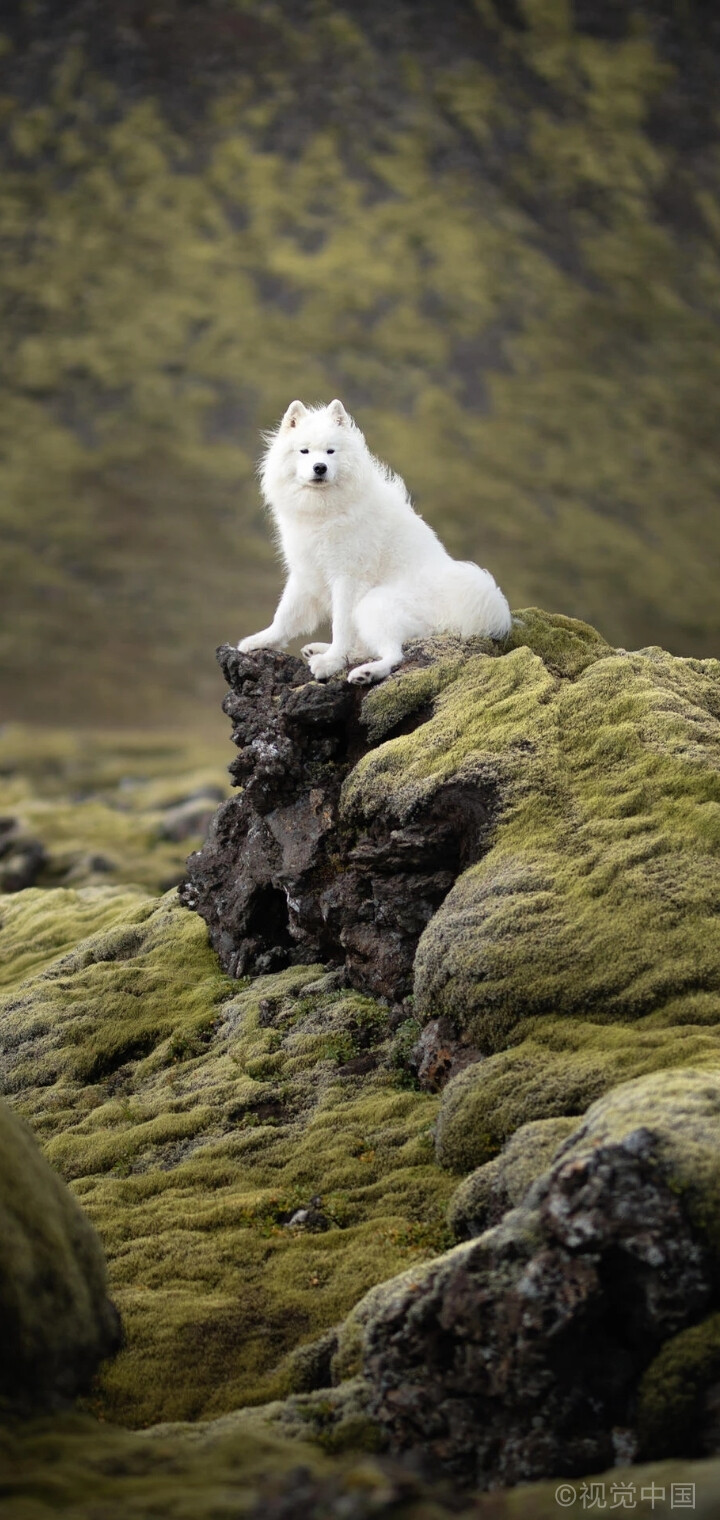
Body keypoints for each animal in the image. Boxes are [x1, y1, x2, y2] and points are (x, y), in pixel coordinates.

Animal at [236, 398, 510, 684]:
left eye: (330, 451)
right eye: (304, 451)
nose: (320, 467)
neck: (324, 511)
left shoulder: (348, 578)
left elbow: (341, 627)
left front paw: (332, 662)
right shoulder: (305, 572)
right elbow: (285, 615)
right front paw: (262, 641)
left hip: (373, 605)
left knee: (393, 654)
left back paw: (363, 672)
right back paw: (320, 650)